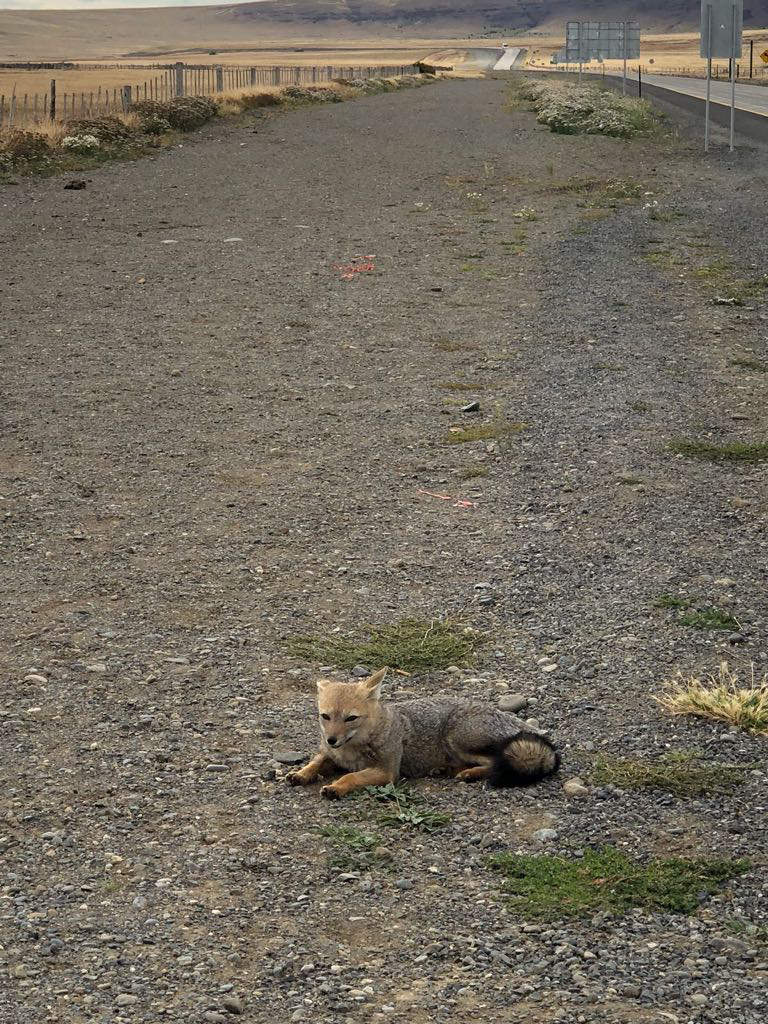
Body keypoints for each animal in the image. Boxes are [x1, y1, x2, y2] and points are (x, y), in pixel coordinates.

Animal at [284, 667, 561, 802]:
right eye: (325, 716)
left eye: (351, 718)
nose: (332, 739)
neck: (352, 749)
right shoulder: (330, 754)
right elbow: (317, 761)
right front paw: (301, 773)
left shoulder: (387, 772)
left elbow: (351, 776)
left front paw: (336, 787)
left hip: (457, 738)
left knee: (495, 762)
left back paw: (469, 773)